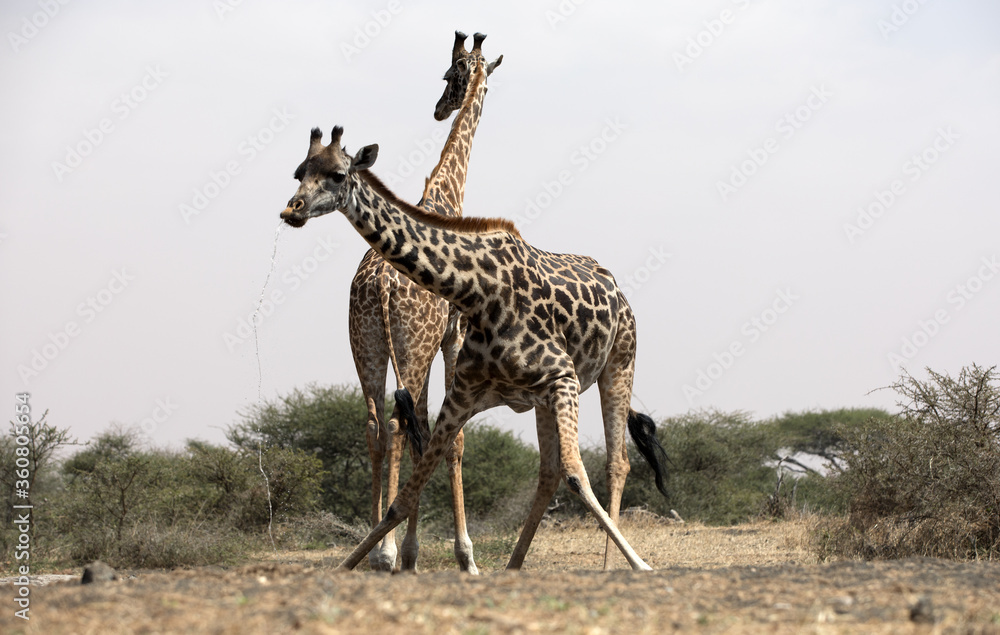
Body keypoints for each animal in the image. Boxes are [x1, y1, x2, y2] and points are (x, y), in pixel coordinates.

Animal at [279, 126, 669, 571]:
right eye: (299, 171)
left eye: (338, 175)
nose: (293, 209)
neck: (477, 291)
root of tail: (617, 289)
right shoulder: (464, 394)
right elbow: (405, 496)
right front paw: (355, 564)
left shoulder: (563, 376)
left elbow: (577, 474)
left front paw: (642, 565)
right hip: (536, 396)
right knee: (547, 472)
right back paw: (514, 563)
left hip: (619, 363)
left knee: (614, 462)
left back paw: (608, 565)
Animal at [347, 31, 502, 573]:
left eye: (451, 74)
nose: (439, 108)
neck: (446, 197)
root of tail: (379, 287)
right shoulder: (454, 335)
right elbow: (450, 438)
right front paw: (464, 556)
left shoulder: (435, 343)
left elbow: (428, 429)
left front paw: (413, 553)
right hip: (409, 347)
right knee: (396, 426)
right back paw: (384, 552)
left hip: (368, 347)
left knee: (374, 424)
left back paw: (375, 545)